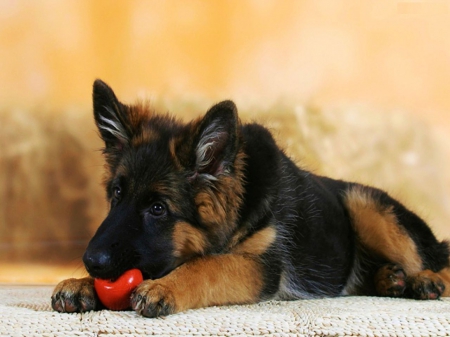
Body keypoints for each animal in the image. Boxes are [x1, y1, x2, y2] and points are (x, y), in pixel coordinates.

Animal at [51, 80, 450, 316]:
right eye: (117, 194)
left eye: (158, 208)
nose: (90, 262)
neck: (239, 210)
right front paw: (79, 284)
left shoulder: (261, 266)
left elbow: (208, 266)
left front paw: (166, 287)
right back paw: (391, 280)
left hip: (365, 206)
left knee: (437, 260)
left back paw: (425, 281)